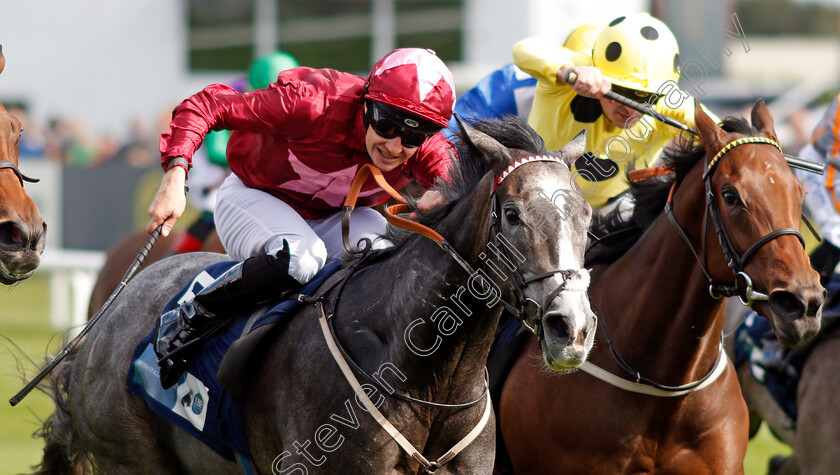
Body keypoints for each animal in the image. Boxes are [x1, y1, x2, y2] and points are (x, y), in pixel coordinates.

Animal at [34, 116, 596, 475]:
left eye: (587, 215)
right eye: (513, 215)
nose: (571, 328)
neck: (430, 376)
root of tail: (103, 323)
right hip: (131, 458)